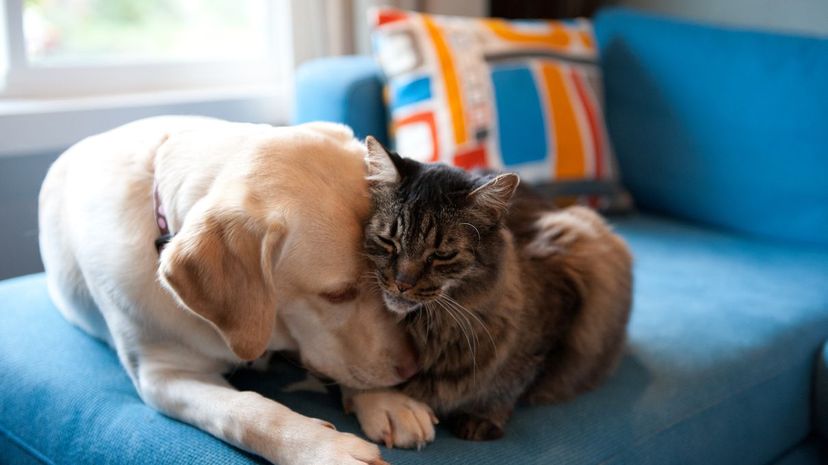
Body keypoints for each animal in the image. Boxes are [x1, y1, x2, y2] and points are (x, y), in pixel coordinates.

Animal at [37, 116, 420, 464]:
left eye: (384, 279)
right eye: (337, 294)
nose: (411, 370)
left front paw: (385, 401)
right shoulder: (161, 377)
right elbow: (246, 412)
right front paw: (324, 449)